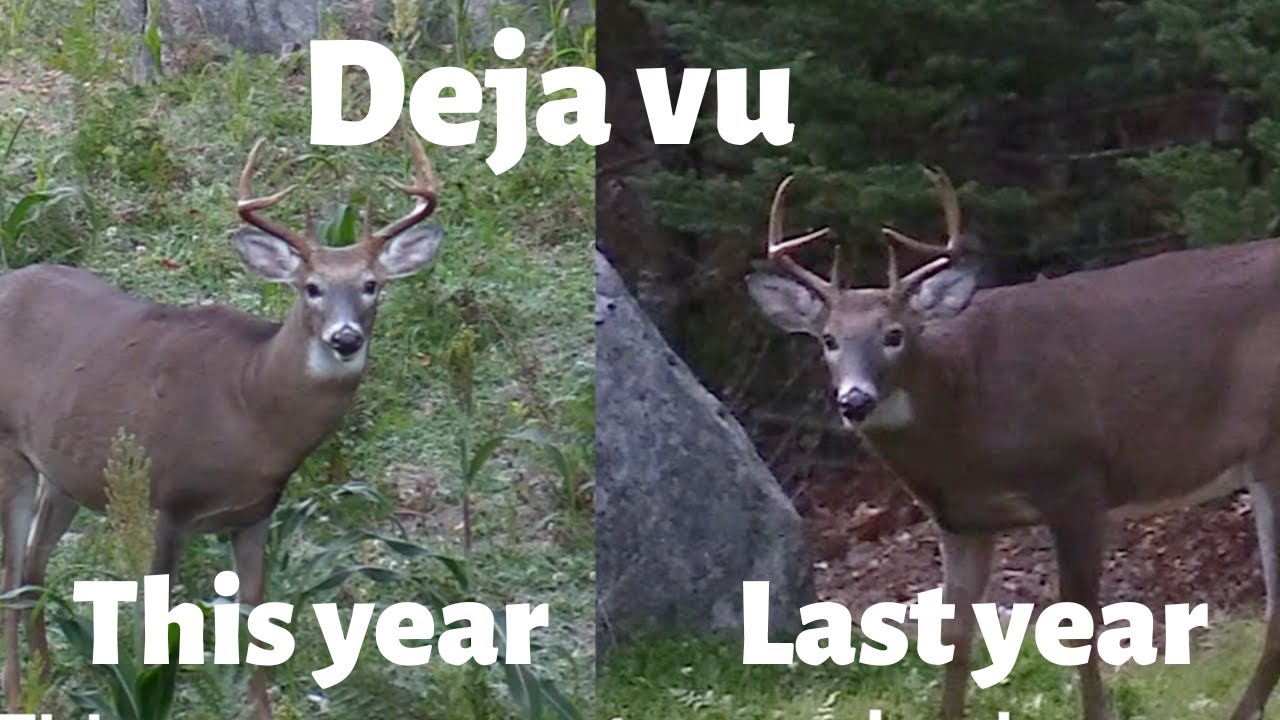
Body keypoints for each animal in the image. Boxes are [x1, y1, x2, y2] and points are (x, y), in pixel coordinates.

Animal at [0, 125, 445, 718]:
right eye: (311, 287)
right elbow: (158, 622)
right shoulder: (167, 500)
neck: (248, 405)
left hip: (67, 470)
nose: (345, 337)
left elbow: (259, 618)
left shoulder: (255, 514)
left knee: (33, 566)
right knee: (10, 572)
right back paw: (17, 694)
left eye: (372, 284)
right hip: (11, 449)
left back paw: (46, 685)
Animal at [746, 170, 1280, 720]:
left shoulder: (1078, 479)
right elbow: (954, 634)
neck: (969, 418)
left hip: (1271, 448)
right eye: (828, 339)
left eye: (894, 334)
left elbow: (1079, 622)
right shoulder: (962, 519)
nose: (854, 400)